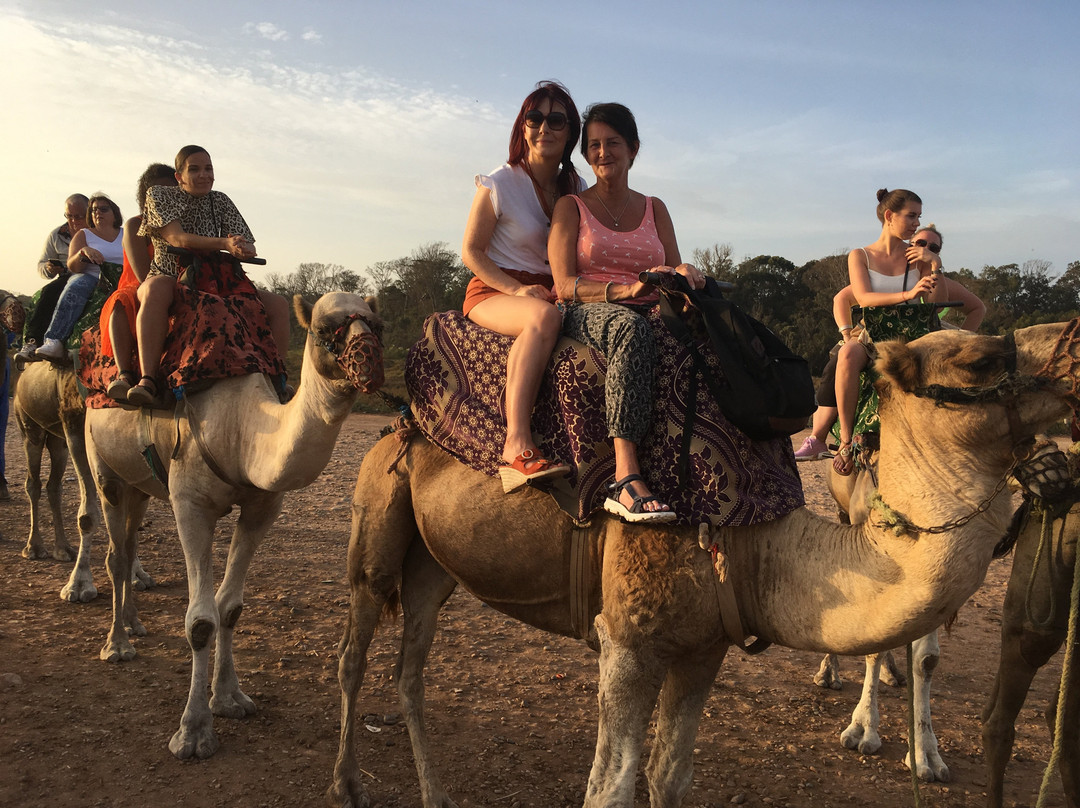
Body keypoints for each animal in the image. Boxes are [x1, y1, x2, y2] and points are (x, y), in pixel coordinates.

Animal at [14, 360, 153, 601]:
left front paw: (136, 575)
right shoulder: (75, 428)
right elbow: (87, 516)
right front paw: (78, 584)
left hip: (57, 442)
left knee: (53, 485)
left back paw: (63, 549)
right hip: (29, 426)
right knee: (33, 483)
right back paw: (34, 547)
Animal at [85, 291, 383, 761]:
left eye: (377, 323)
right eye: (323, 328)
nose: (369, 360)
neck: (243, 430)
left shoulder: (263, 506)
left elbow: (230, 607)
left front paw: (228, 699)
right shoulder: (190, 505)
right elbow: (200, 621)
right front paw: (193, 733)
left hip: (139, 483)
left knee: (130, 543)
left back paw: (132, 623)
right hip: (100, 461)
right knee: (115, 551)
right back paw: (117, 645)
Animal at [328, 321, 1080, 808]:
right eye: (982, 360)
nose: (1073, 355)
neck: (755, 545)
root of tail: (401, 419)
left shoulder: (703, 647)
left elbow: (669, 777)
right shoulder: (627, 643)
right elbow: (608, 789)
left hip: (434, 568)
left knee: (411, 669)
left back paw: (435, 794)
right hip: (375, 524)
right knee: (355, 651)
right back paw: (347, 784)